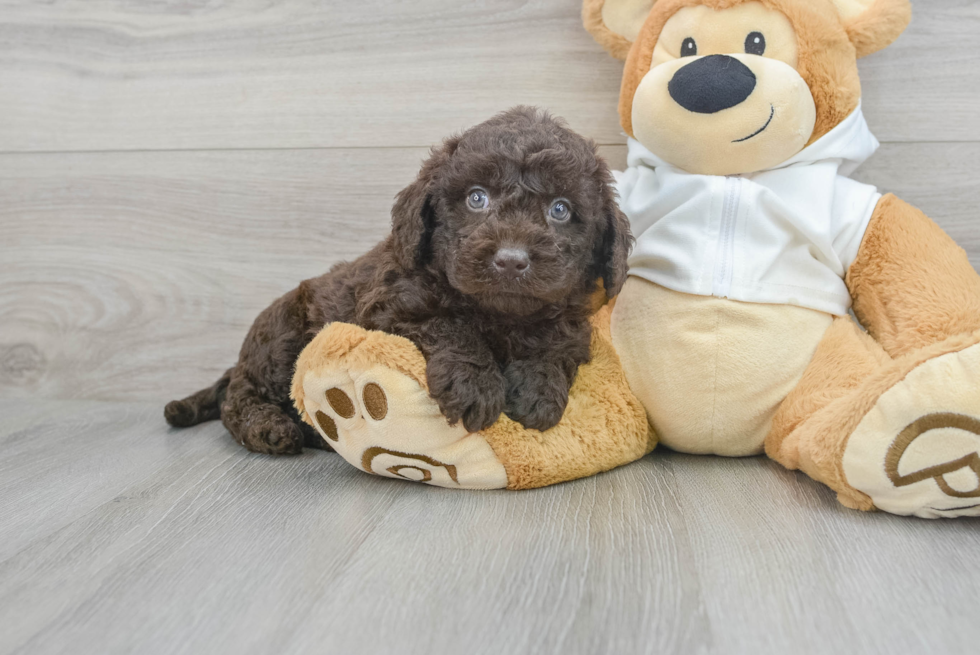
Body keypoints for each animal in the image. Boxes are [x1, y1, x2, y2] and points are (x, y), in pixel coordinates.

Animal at [165, 107, 632, 456]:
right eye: (476, 198)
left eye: (560, 209)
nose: (511, 260)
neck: (498, 313)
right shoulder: (392, 305)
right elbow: (451, 326)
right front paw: (476, 387)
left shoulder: (570, 321)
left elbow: (553, 345)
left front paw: (538, 391)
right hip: (280, 339)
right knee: (239, 398)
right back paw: (271, 428)